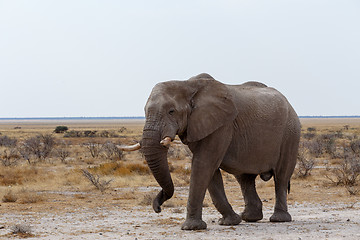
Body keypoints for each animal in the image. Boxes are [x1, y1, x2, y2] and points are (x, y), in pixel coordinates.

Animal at [124, 73, 300, 231]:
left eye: (171, 111)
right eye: (145, 111)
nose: (158, 208)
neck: (186, 84)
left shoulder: (222, 125)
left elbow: (204, 164)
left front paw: (191, 227)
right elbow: (210, 171)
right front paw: (229, 222)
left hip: (290, 133)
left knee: (281, 177)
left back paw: (279, 219)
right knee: (245, 179)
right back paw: (249, 218)